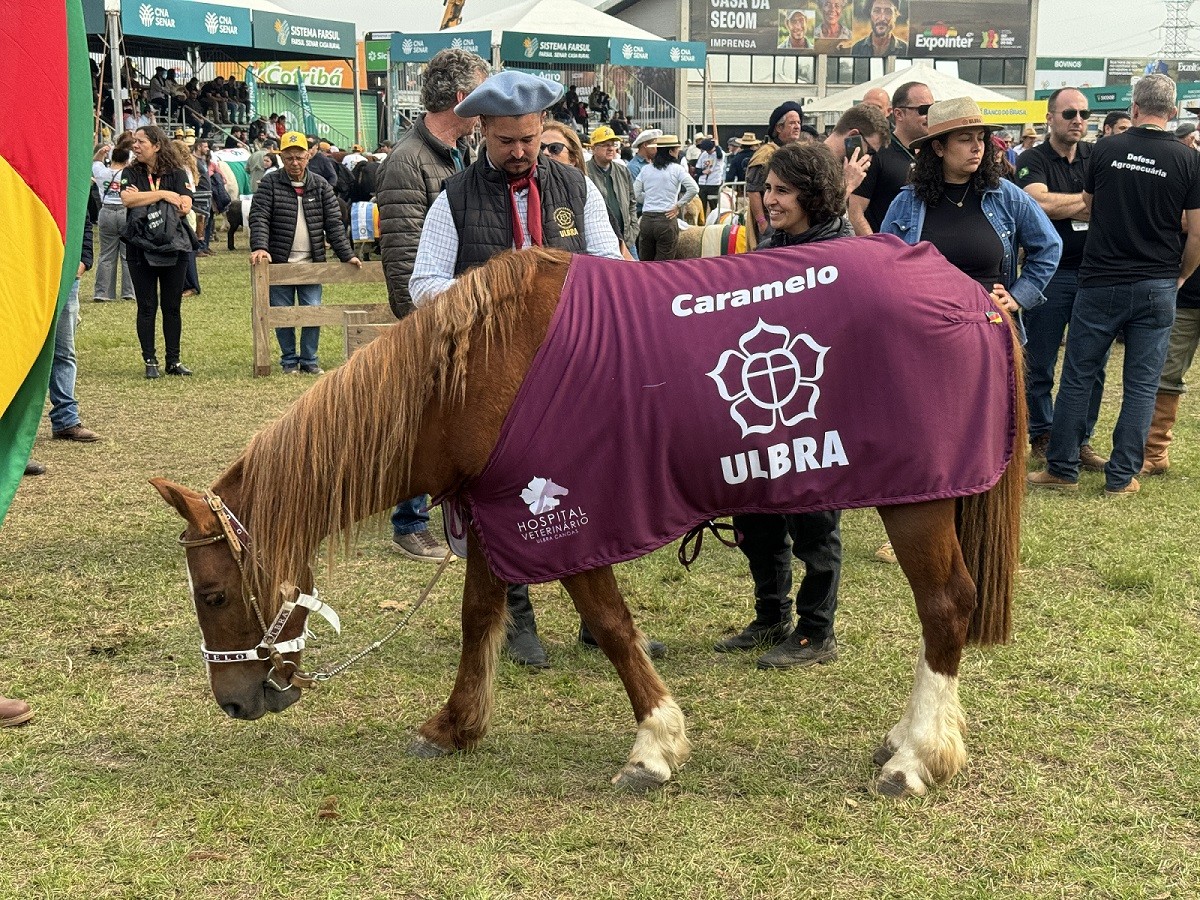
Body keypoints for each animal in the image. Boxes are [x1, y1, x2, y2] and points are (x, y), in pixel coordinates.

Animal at [152, 244, 1022, 796]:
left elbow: (609, 625)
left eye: (214, 594)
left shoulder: (566, 519)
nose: (233, 702)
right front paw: (456, 725)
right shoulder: (501, 514)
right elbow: (480, 618)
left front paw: (655, 747)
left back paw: (916, 758)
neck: (472, 373)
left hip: (916, 502)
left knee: (945, 606)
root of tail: (975, 295)